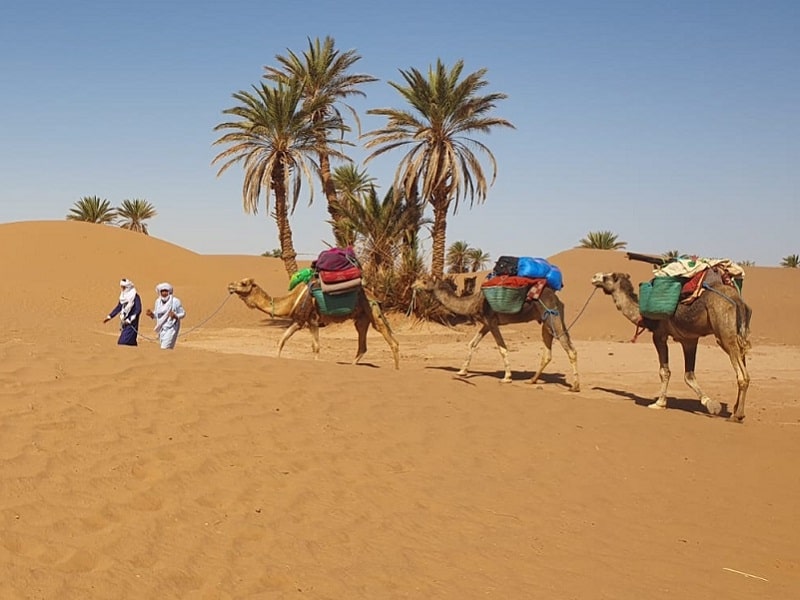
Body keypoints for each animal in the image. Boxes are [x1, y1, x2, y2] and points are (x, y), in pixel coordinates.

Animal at [225, 278, 400, 370]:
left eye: (243, 283)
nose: (230, 285)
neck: (291, 300)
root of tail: (373, 295)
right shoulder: (299, 321)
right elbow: (282, 340)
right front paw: (277, 359)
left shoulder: (313, 320)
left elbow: (316, 347)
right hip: (361, 318)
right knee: (362, 343)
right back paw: (352, 365)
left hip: (372, 312)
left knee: (390, 338)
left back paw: (397, 369)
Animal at [412, 276, 580, 392]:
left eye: (425, 281)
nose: (413, 285)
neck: (473, 302)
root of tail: (557, 299)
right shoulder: (486, 324)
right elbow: (472, 344)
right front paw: (462, 371)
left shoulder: (492, 322)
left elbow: (502, 348)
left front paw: (507, 377)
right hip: (546, 322)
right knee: (548, 353)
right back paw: (532, 380)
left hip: (552, 316)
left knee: (570, 349)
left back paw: (575, 386)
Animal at [588, 274, 752, 422]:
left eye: (608, 277)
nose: (594, 277)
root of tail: (738, 301)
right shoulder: (689, 340)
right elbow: (689, 375)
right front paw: (710, 403)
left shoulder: (659, 335)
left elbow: (665, 371)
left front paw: (659, 403)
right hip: (740, 334)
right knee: (743, 366)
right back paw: (736, 412)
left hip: (724, 333)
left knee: (742, 375)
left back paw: (737, 416)